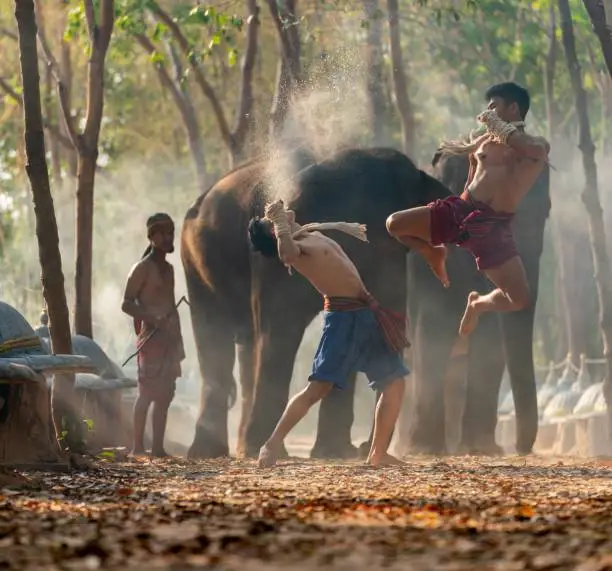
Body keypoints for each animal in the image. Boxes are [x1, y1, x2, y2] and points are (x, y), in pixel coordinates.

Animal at [179, 147, 452, 460]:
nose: (364, 447)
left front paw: (336, 452)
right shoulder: (271, 262)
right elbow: (279, 328)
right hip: (193, 258)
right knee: (216, 338)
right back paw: (223, 451)